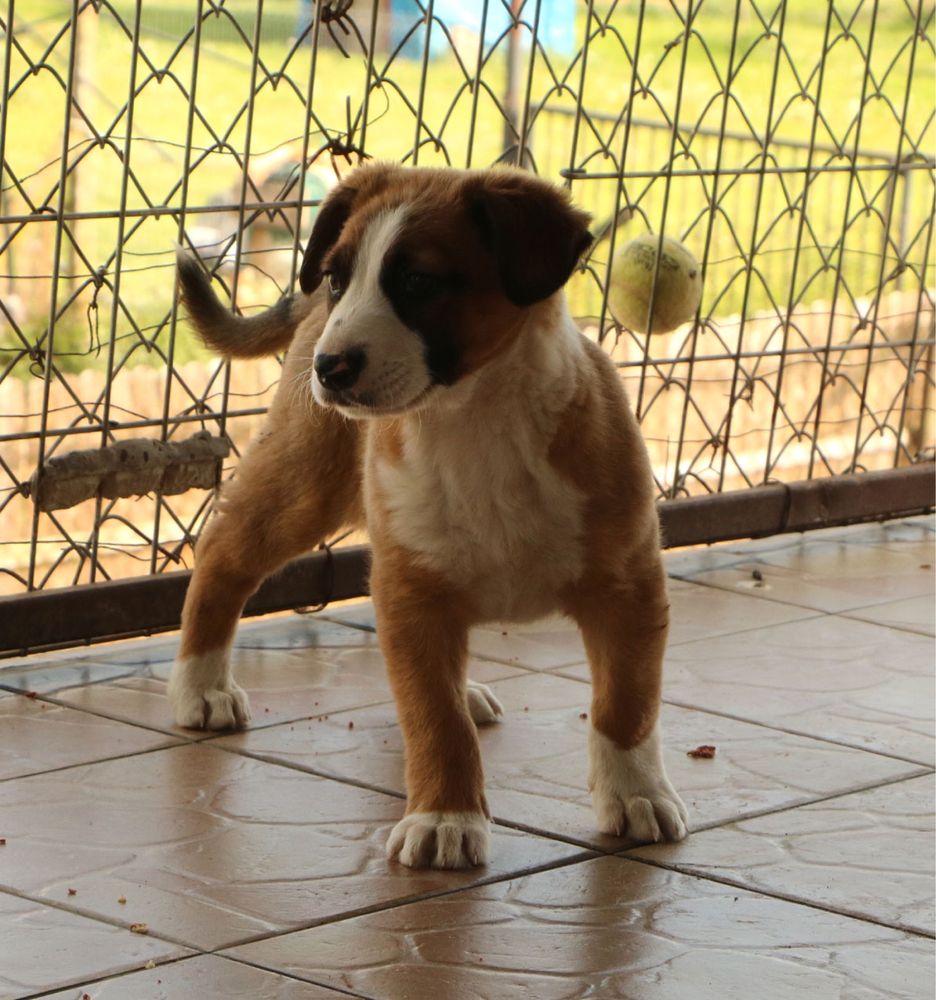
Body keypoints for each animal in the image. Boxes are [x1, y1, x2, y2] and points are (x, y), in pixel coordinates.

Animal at [168, 162, 688, 868]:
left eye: (419, 283)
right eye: (340, 278)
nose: (330, 368)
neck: (470, 424)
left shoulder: (628, 587)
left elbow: (625, 704)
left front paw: (636, 795)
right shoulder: (410, 589)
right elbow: (435, 719)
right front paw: (445, 818)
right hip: (303, 486)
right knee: (222, 553)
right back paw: (202, 687)